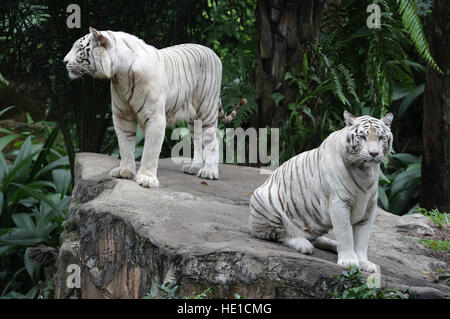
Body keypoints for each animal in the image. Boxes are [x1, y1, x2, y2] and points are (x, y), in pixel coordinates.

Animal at [63, 28, 246, 188]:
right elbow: (125, 145)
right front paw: (124, 171)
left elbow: (150, 150)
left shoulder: (155, 117)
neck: (119, 75)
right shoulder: (122, 116)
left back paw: (209, 171)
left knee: (212, 139)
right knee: (198, 138)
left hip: (207, 107)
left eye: (79, 48)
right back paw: (194, 167)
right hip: (193, 118)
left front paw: (146, 178)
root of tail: (213, 52)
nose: (64, 61)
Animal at [250, 111, 394, 274]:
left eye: (381, 138)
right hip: (263, 202)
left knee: (315, 238)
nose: (374, 153)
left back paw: (332, 245)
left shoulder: (369, 208)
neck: (365, 171)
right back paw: (303, 244)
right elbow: (345, 233)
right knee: (281, 235)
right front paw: (349, 261)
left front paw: (364, 262)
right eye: (362, 137)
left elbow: (362, 239)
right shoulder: (339, 203)